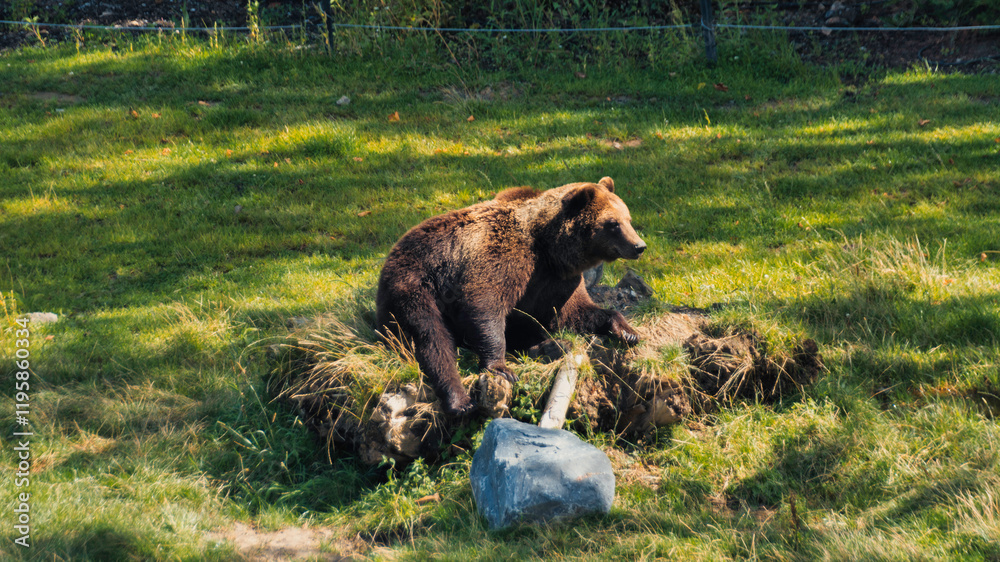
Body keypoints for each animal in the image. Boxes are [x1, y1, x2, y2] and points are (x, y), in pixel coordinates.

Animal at [375, 177, 646, 416]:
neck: (548, 247)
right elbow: (484, 306)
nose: (639, 246)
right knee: (431, 337)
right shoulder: (501, 256)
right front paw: (501, 367)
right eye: (613, 223)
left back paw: (552, 346)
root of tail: (391, 255)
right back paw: (460, 400)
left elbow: (573, 312)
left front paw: (627, 331)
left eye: (629, 219)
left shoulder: (558, 281)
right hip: (414, 284)